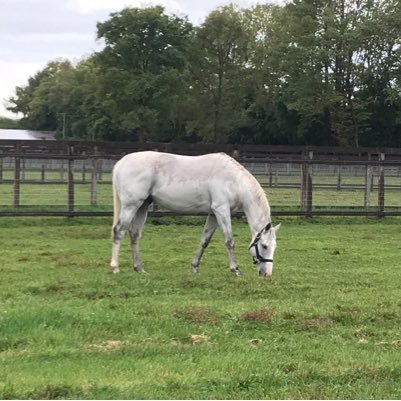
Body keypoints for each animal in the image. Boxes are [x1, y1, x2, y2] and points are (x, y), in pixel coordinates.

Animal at [108, 150, 280, 276]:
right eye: (264, 246)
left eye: (274, 247)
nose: (267, 274)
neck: (234, 181)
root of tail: (121, 162)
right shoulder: (222, 210)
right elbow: (229, 241)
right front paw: (235, 269)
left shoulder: (214, 214)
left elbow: (205, 240)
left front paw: (195, 267)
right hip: (131, 205)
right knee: (119, 231)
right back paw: (115, 267)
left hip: (142, 206)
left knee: (135, 234)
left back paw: (139, 268)